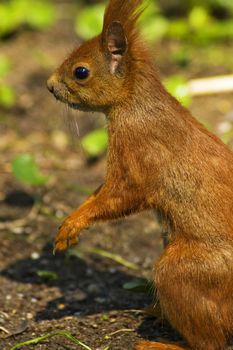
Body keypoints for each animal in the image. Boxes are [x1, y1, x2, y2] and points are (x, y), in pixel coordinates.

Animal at [46, 0, 233, 350]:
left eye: (81, 72)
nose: (49, 86)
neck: (135, 104)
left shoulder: (138, 154)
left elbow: (119, 197)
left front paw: (73, 224)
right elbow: (98, 193)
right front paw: (69, 223)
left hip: (181, 271)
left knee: (212, 342)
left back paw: (161, 343)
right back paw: (156, 313)